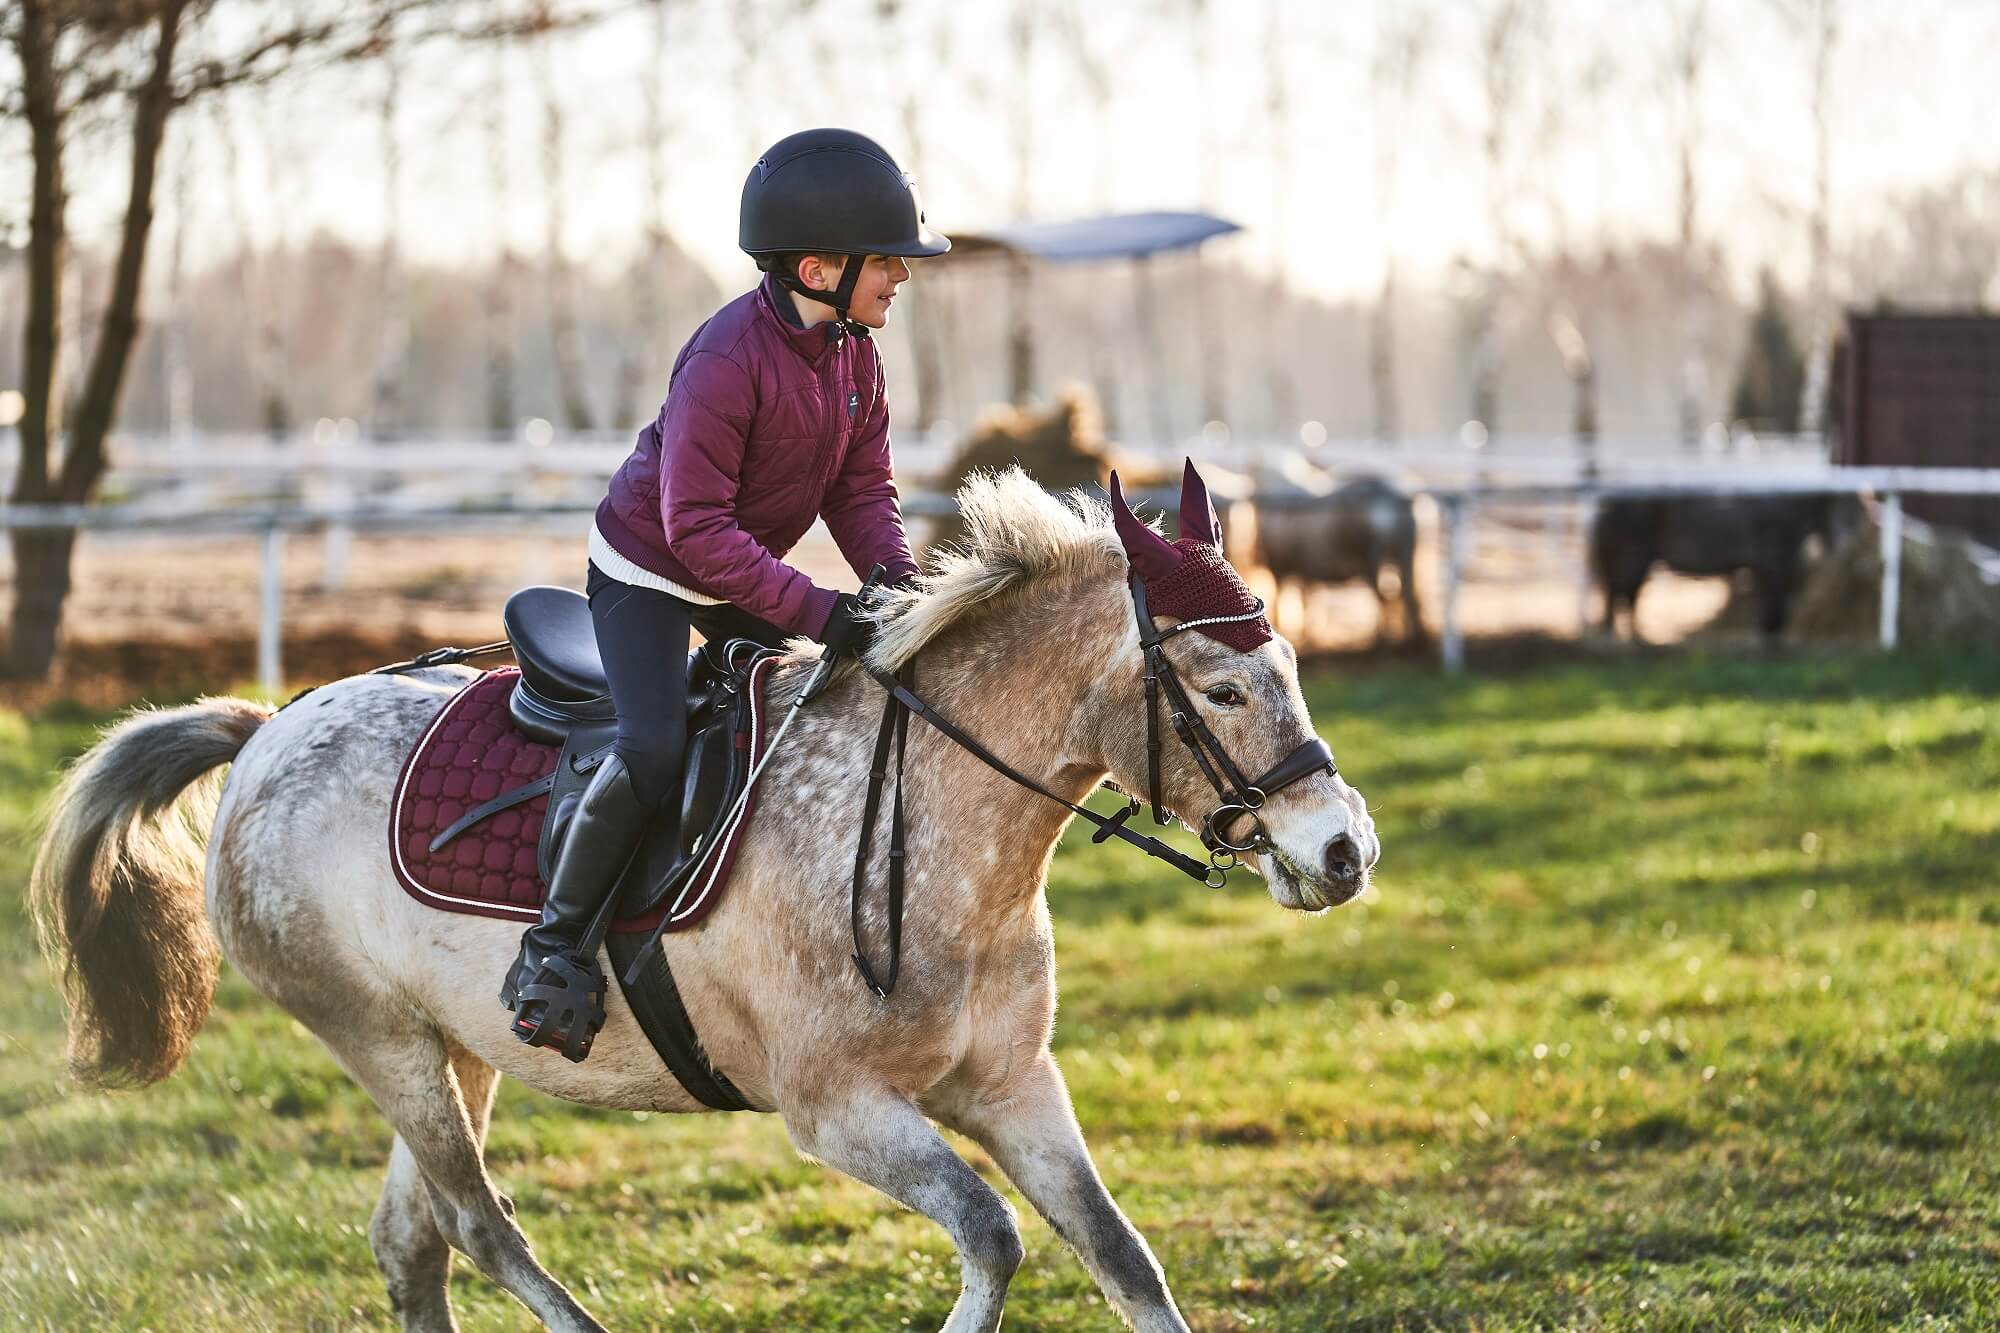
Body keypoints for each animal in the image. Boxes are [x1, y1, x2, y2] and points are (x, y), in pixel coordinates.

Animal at [1584, 492, 1848, 644]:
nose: (1841, 548)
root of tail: (1606, 509)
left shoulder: (1765, 567)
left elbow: (1771, 602)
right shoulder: (1775, 563)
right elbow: (1775, 601)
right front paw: (1772, 636)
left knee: (1620, 597)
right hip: (1633, 561)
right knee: (1623, 596)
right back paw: (1632, 639)